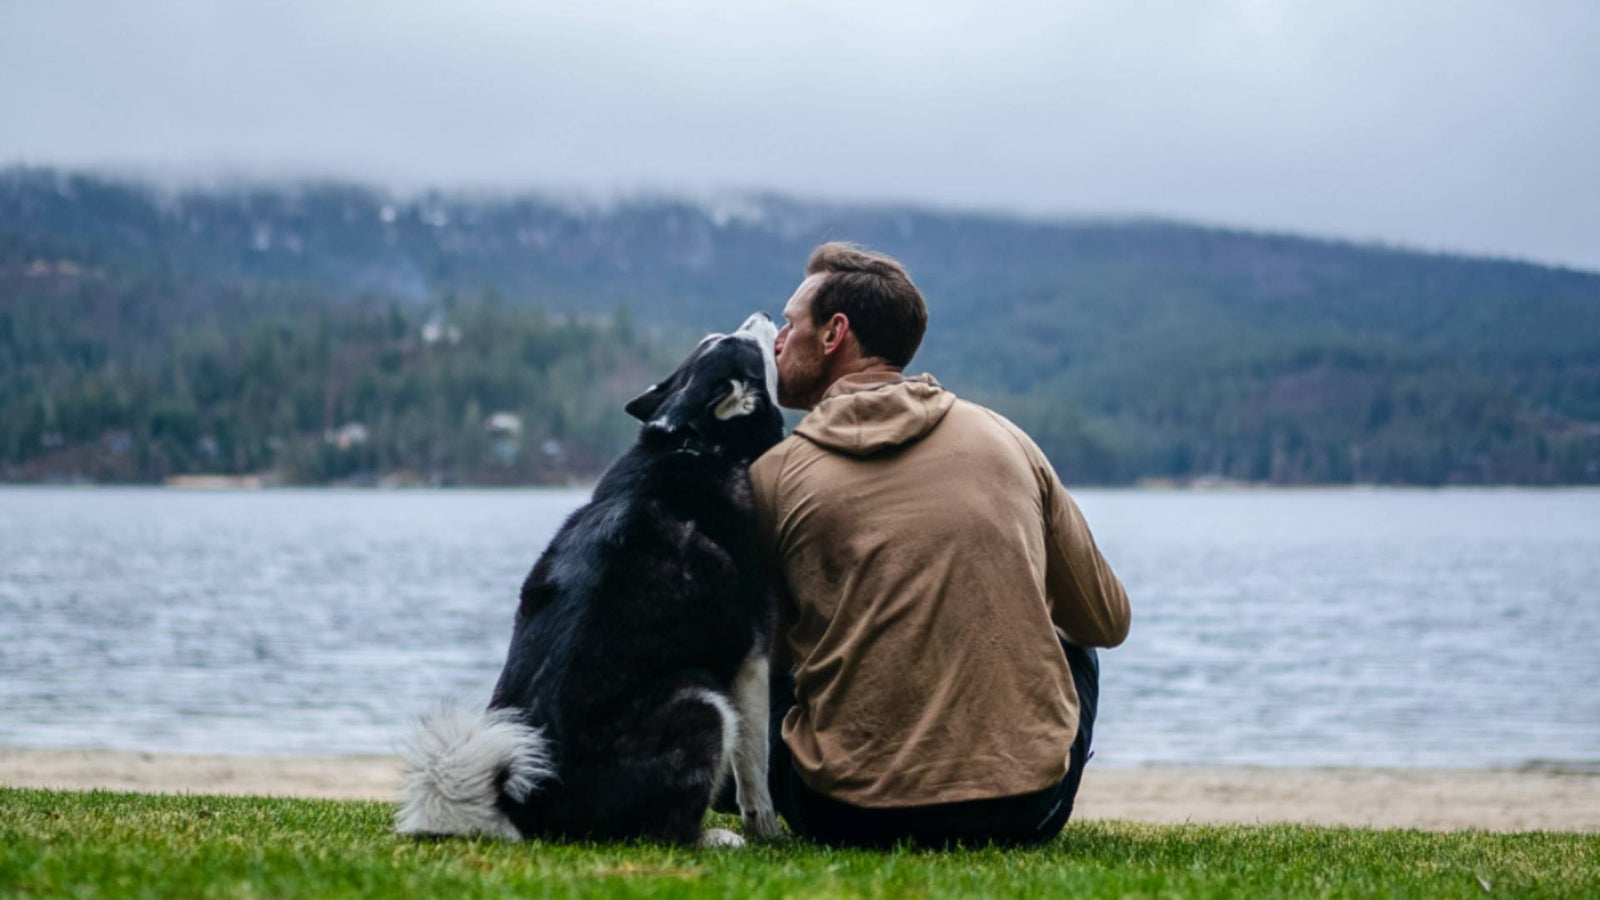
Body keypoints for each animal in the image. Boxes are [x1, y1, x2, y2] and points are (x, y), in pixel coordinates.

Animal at [400, 312, 787, 845]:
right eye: (746, 344)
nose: (764, 317)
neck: (694, 445)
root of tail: (533, 803)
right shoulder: (752, 656)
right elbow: (755, 764)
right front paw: (765, 827)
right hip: (701, 700)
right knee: (667, 830)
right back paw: (713, 838)